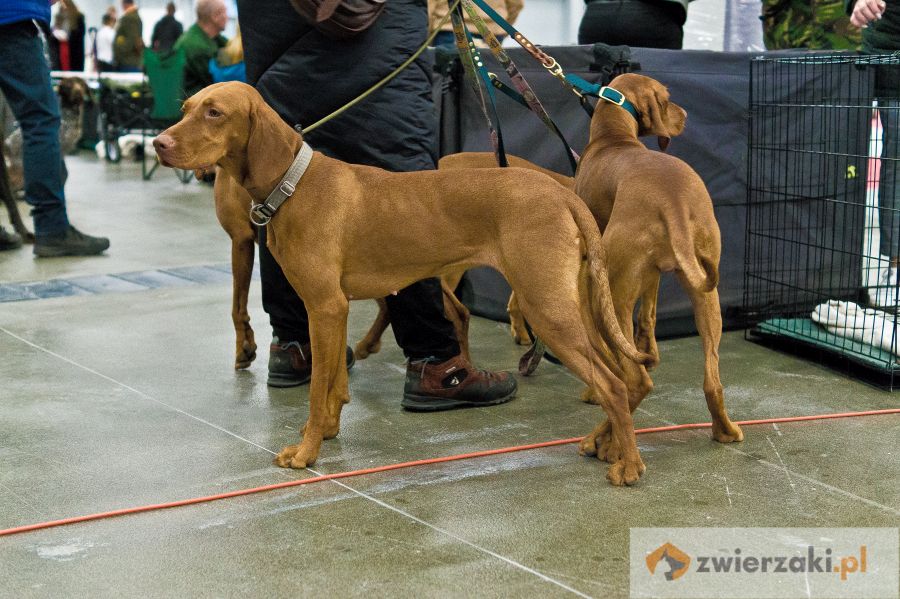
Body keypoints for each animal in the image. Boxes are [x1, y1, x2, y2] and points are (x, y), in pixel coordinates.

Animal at [155, 83, 652, 488]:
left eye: (215, 112)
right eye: (186, 108)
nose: (159, 143)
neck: (293, 185)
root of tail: (562, 192)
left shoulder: (324, 306)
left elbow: (316, 388)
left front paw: (307, 452)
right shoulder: (334, 309)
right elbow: (334, 381)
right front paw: (328, 431)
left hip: (547, 307)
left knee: (612, 384)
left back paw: (627, 465)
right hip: (572, 306)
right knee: (631, 377)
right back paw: (605, 442)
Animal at [572, 72, 740, 462]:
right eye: (666, 98)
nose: (687, 115)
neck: (612, 138)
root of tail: (673, 201)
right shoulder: (651, 276)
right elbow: (647, 318)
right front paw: (650, 350)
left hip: (608, 296)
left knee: (633, 381)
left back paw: (602, 442)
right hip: (705, 294)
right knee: (712, 379)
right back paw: (724, 431)